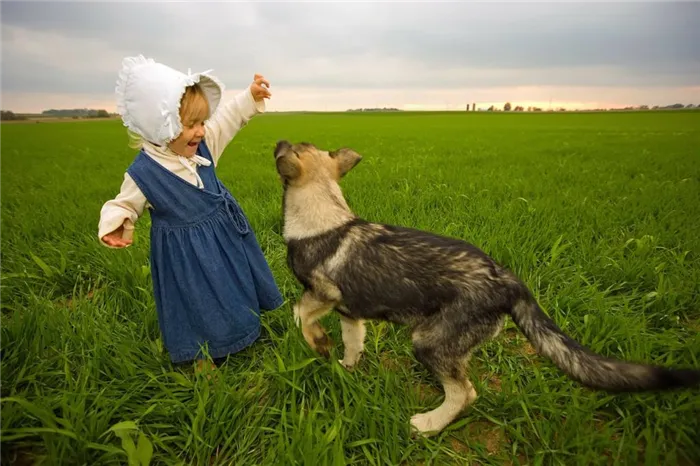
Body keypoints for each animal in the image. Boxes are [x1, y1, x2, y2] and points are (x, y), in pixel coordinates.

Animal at [270, 139, 700, 436]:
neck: (324, 214)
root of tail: (508, 279)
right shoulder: (349, 311)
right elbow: (352, 342)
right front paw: (343, 364)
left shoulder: (324, 294)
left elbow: (299, 313)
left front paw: (316, 343)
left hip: (429, 341)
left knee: (465, 393)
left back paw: (429, 425)